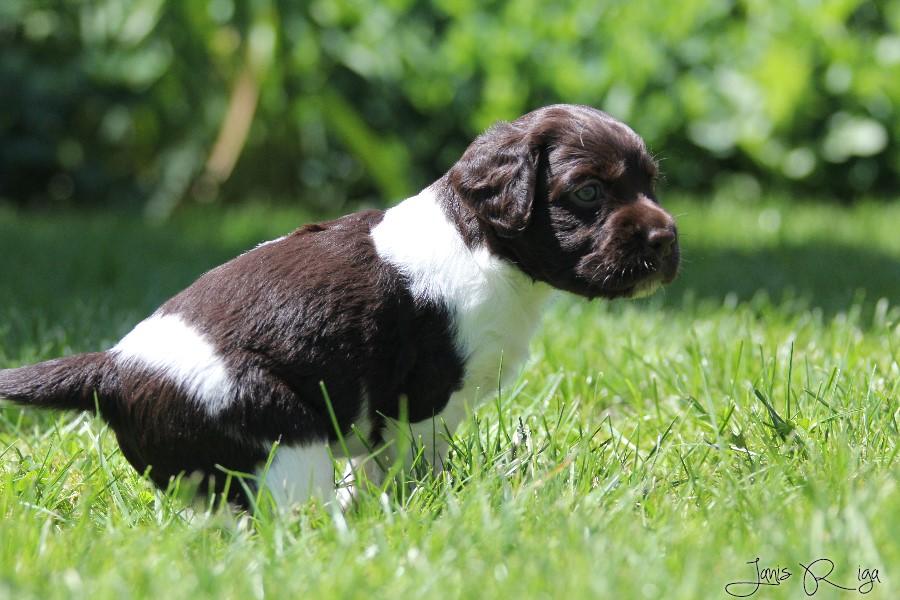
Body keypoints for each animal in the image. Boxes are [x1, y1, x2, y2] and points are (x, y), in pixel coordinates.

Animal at [0, 104, 679, 509]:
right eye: (588, 193)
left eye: (651, 183)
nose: (666, 239)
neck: (483, 243)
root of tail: (112, 366)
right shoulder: (422, 400)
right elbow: (410, 463)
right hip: (282, 431)